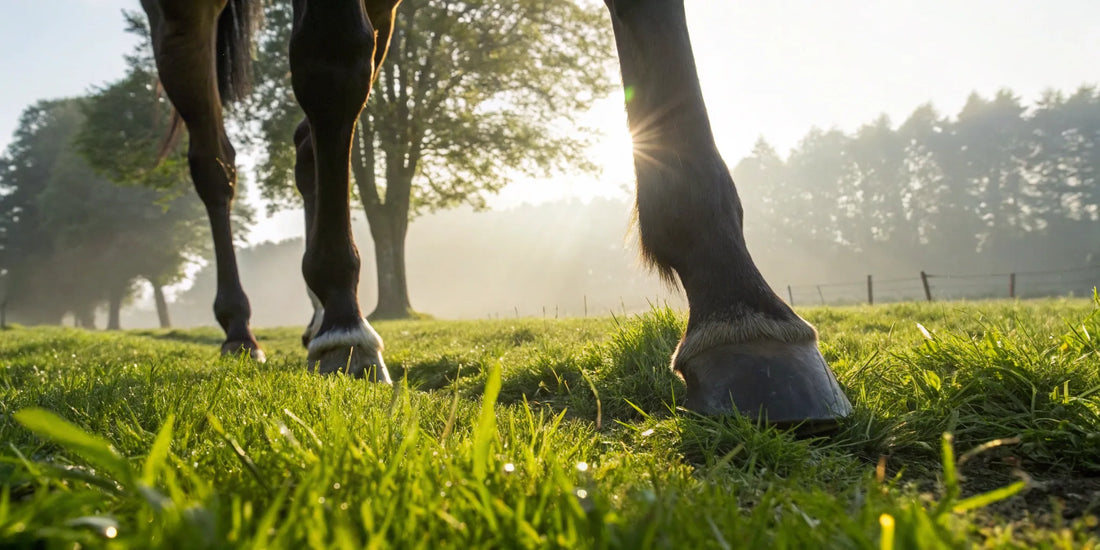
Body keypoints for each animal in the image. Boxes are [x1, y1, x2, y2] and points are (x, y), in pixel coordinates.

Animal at [139, 0, 852, 429]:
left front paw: (741, 310)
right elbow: (329, 60)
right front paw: (343, 329)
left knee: (312, 144)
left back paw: (318, 312)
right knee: (216, 162)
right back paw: (249, 329)